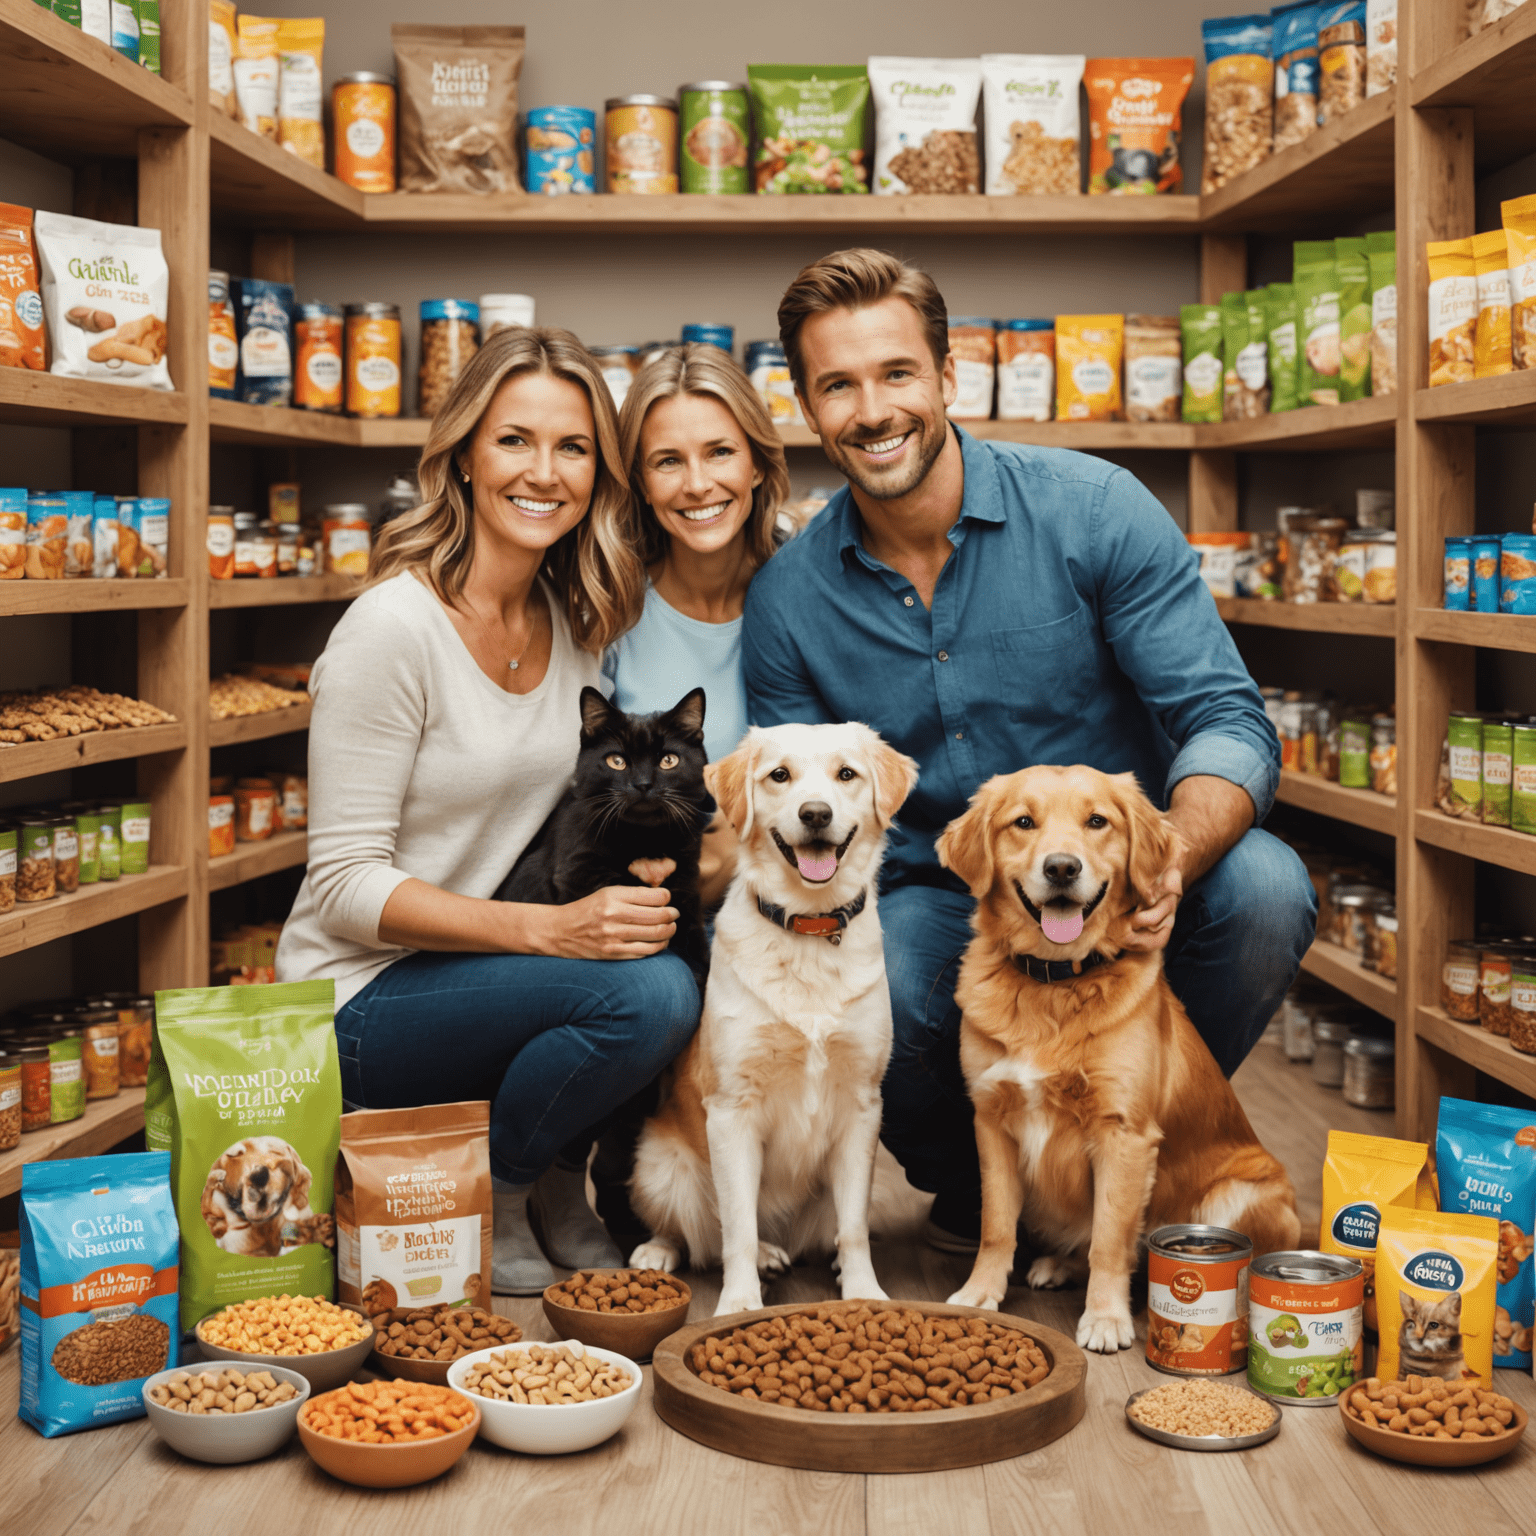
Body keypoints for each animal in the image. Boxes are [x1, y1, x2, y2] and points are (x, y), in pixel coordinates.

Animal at [494, 691, 709, 976]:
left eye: (668, 760)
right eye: (616, 762)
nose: (643, 784)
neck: (645, 838)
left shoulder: (686, 880)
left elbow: (696, 945)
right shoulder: (577, 873)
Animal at [629, 724, 915, 1314]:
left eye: (846, 774)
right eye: (779, 775)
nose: (815, 814)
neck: (808, 925)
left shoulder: (862, 1107)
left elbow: (854, 1229)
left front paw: (864, 1292)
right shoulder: (732, 1110)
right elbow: (737, 1227)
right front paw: (739, 1304)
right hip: (659, 1163)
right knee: (698, 1228)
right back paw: (663, 1251)